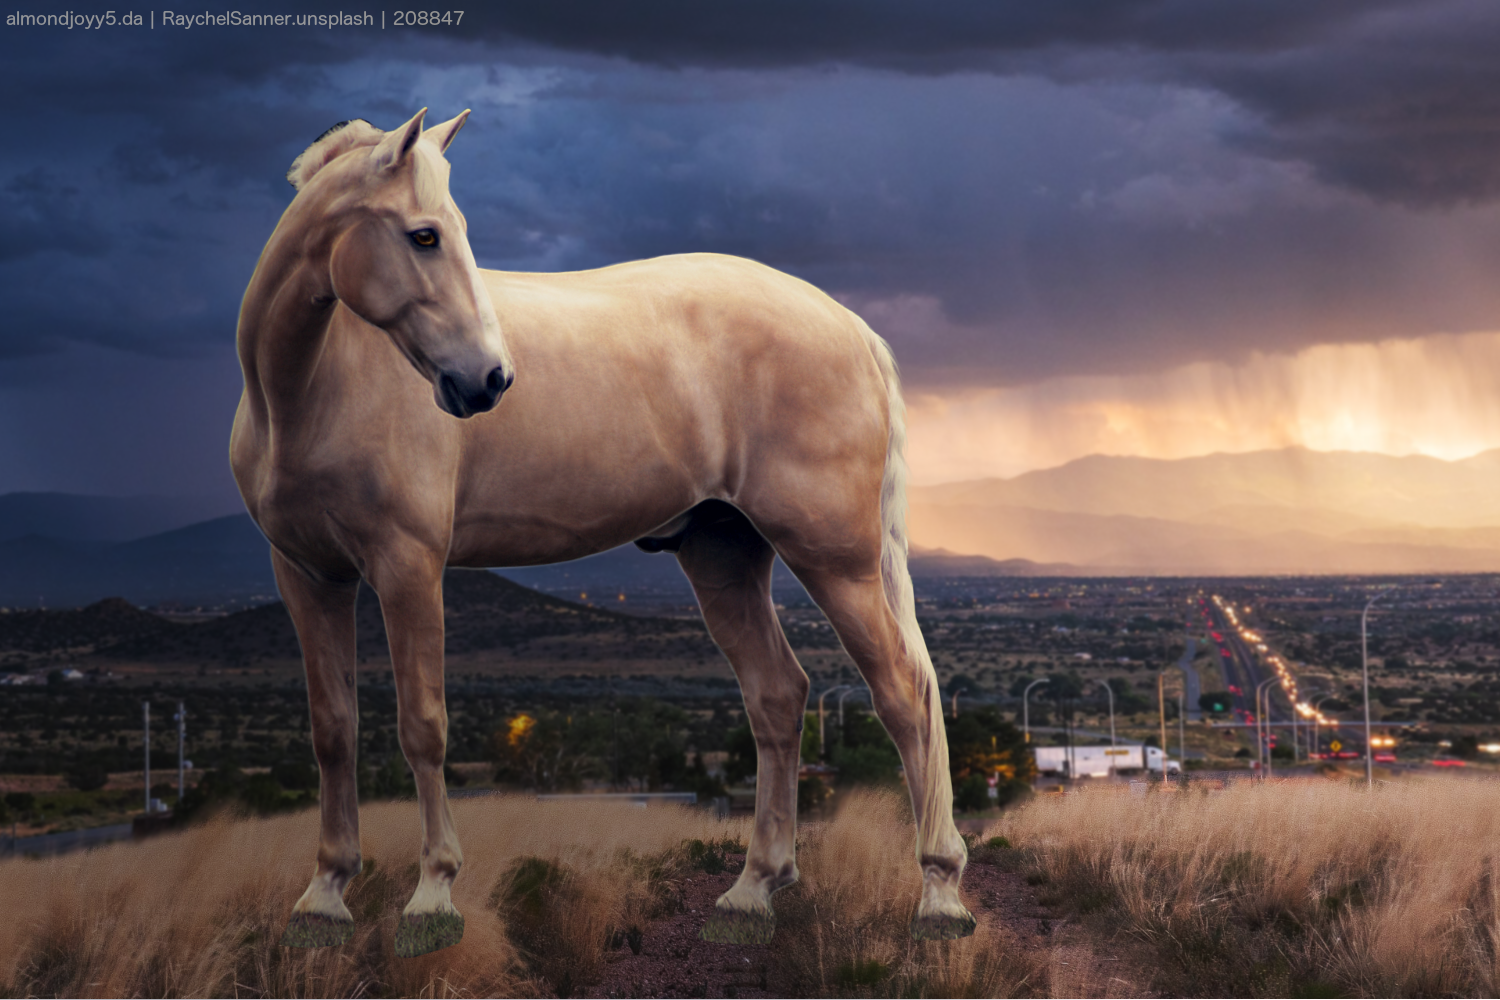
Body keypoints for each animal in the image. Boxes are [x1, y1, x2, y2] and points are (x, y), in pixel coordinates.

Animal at [231, 108, 974, 957]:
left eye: (449, 231)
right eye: (423, 235)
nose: (489, 379)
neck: (309, 390)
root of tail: (852, 325)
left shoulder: (406, 566)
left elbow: (423, 725)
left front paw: (431, 898)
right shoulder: (307, 574)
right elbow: (332, 731)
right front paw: (323, 898)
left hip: (835, 559)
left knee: (904, 694)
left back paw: (939, 898)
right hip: (722, 554)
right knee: (778, 696)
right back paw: (752, 891)